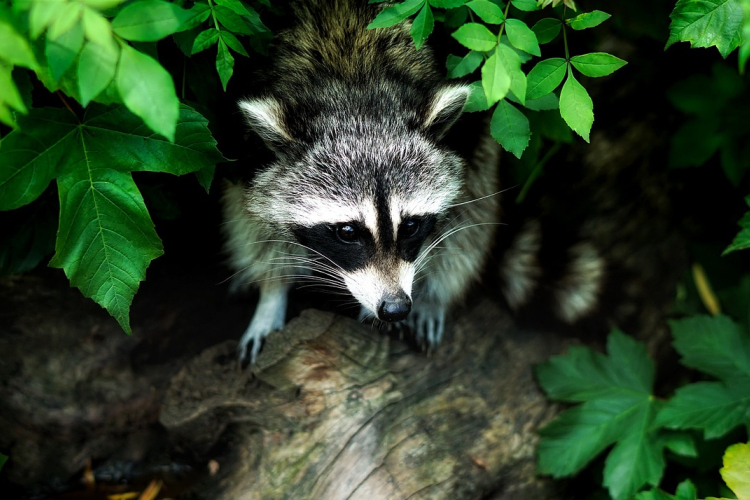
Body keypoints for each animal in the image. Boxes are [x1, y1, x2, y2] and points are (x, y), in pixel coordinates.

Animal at [226, 0, 502, 368]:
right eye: (347, 232)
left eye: (411, 226)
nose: (395, 308)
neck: (354, 83)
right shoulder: (246, 151)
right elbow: (253, 221)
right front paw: (271, 295)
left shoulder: (468, 136)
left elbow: (467, 211)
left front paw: (431, 295)